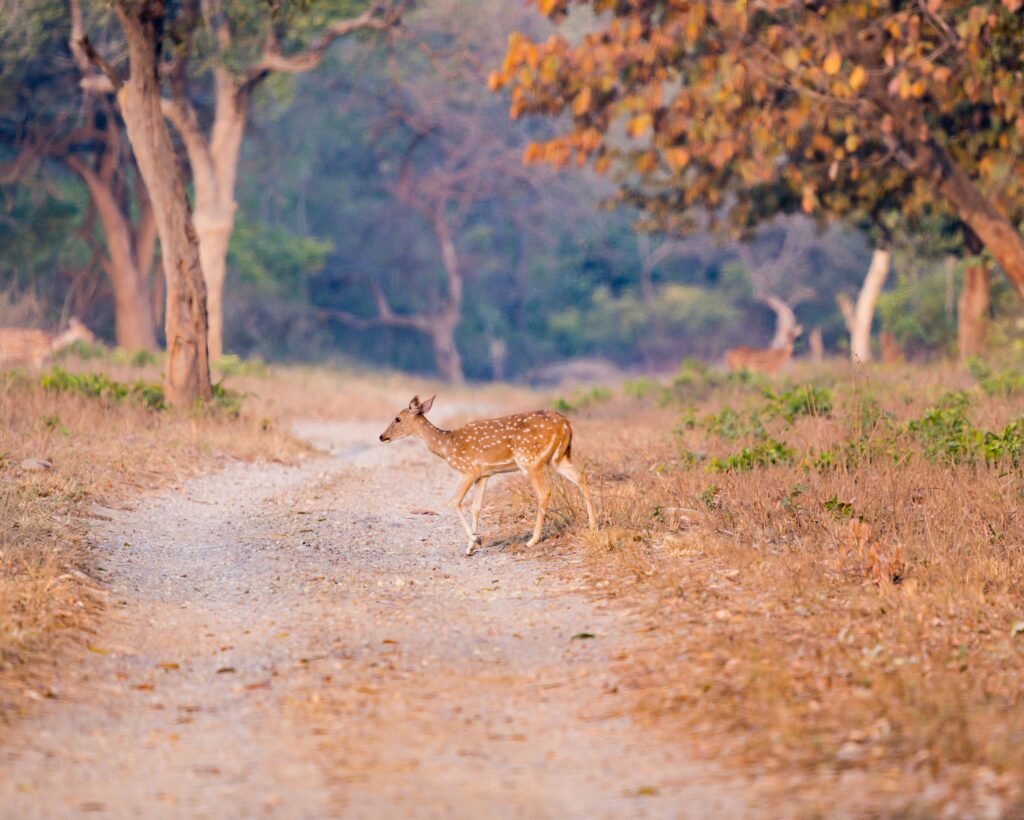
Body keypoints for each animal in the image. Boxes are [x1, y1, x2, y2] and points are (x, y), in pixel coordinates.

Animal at [379, 395, 597, 556]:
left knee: (545, 492)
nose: (382, 436)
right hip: (559, 458)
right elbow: (476, 507)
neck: (446, 446)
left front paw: (475, 540)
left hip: (530, 460)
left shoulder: (468, 469)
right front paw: (471, 546)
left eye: (397, 418)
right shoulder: (484, 475)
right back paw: (593, 526)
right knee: (582, 477)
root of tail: (566, 424)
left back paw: (532, 541)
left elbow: (455, 501)